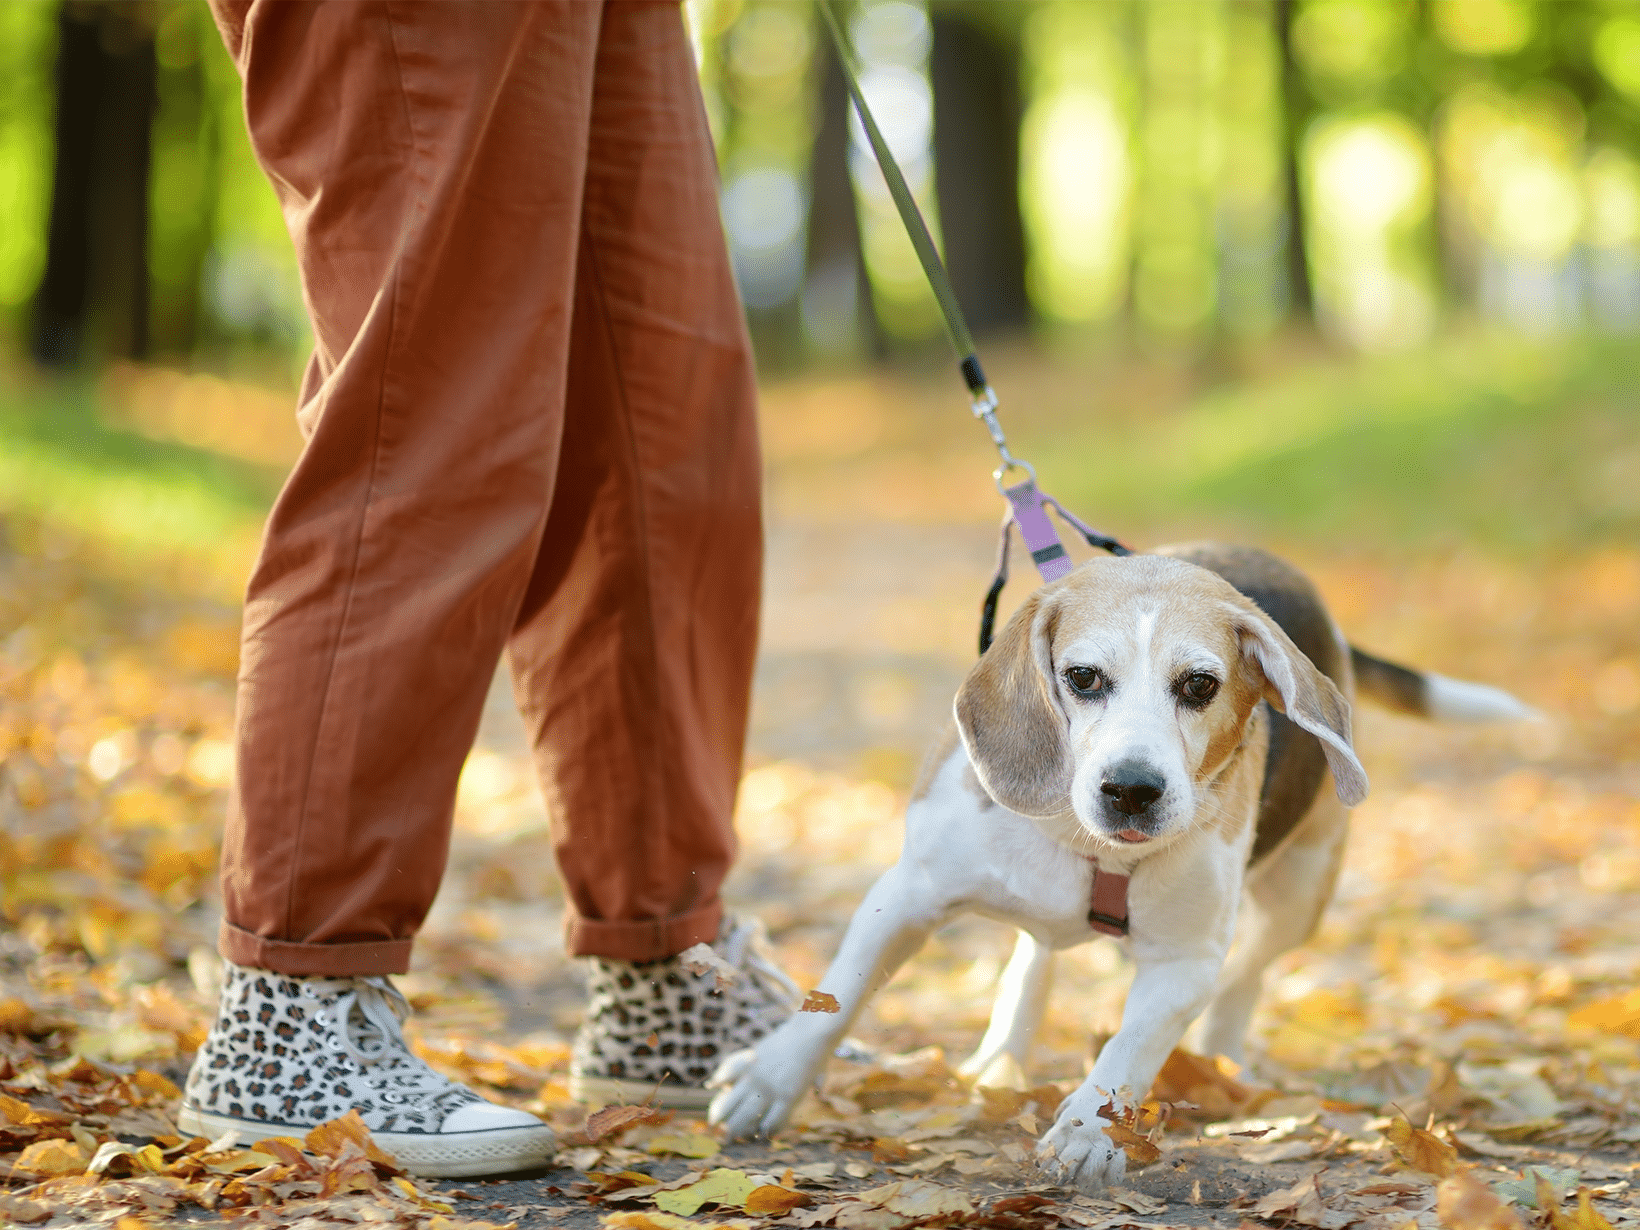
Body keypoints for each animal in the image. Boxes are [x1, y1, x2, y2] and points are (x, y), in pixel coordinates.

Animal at [711, 544, 1528, 1187]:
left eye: (1199, 684)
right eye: (1082, 678)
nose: (1133, 789)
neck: (1089, 843)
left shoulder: (1185, 962)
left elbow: (1129, 1049)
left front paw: (1089, 1131)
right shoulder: (907, 891)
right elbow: (836, 995)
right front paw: (769, 1079)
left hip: (1301, 893)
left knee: (1245, 977)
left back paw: (1221, 1064)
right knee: (1034, 958)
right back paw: (1001, 1052)